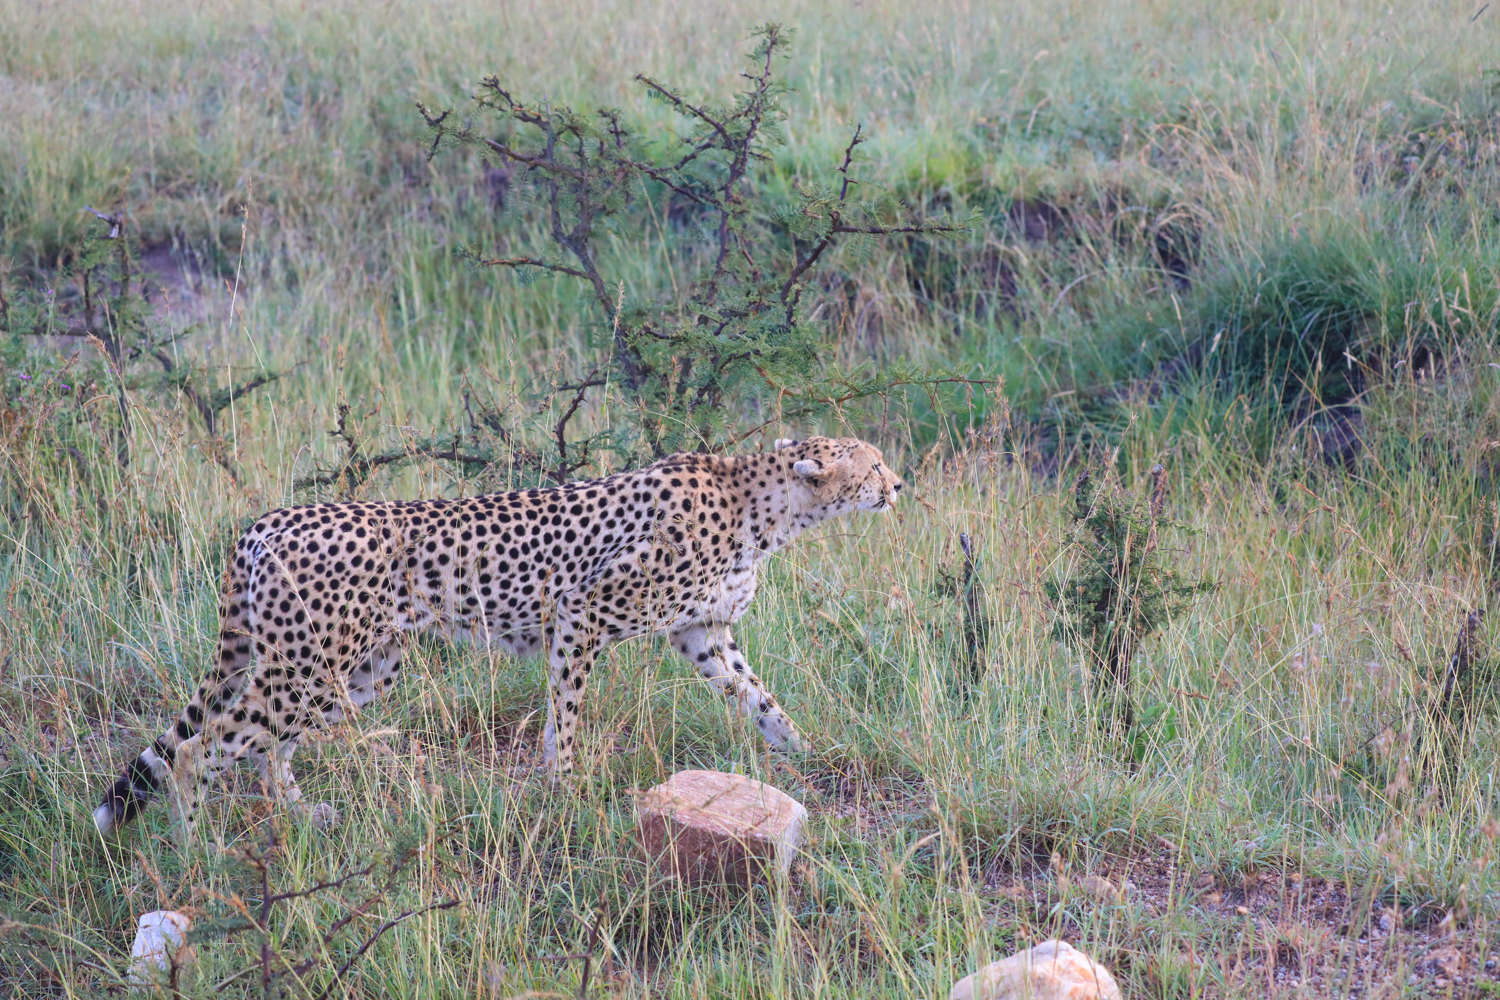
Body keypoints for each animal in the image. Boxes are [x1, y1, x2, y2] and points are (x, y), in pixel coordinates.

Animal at [96, 434, 900, 839]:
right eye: (874, 463)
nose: (899, 486)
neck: (766, 506)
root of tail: (267, 520)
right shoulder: (582, 613)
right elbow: (565, 716)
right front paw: (564, 790)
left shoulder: (703, 632)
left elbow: (761, 698)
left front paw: (809, 752)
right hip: (308, 666)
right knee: (199, 750)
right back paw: (198, 856)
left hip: (356, 669)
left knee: (268, 745)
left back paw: (298, 815)